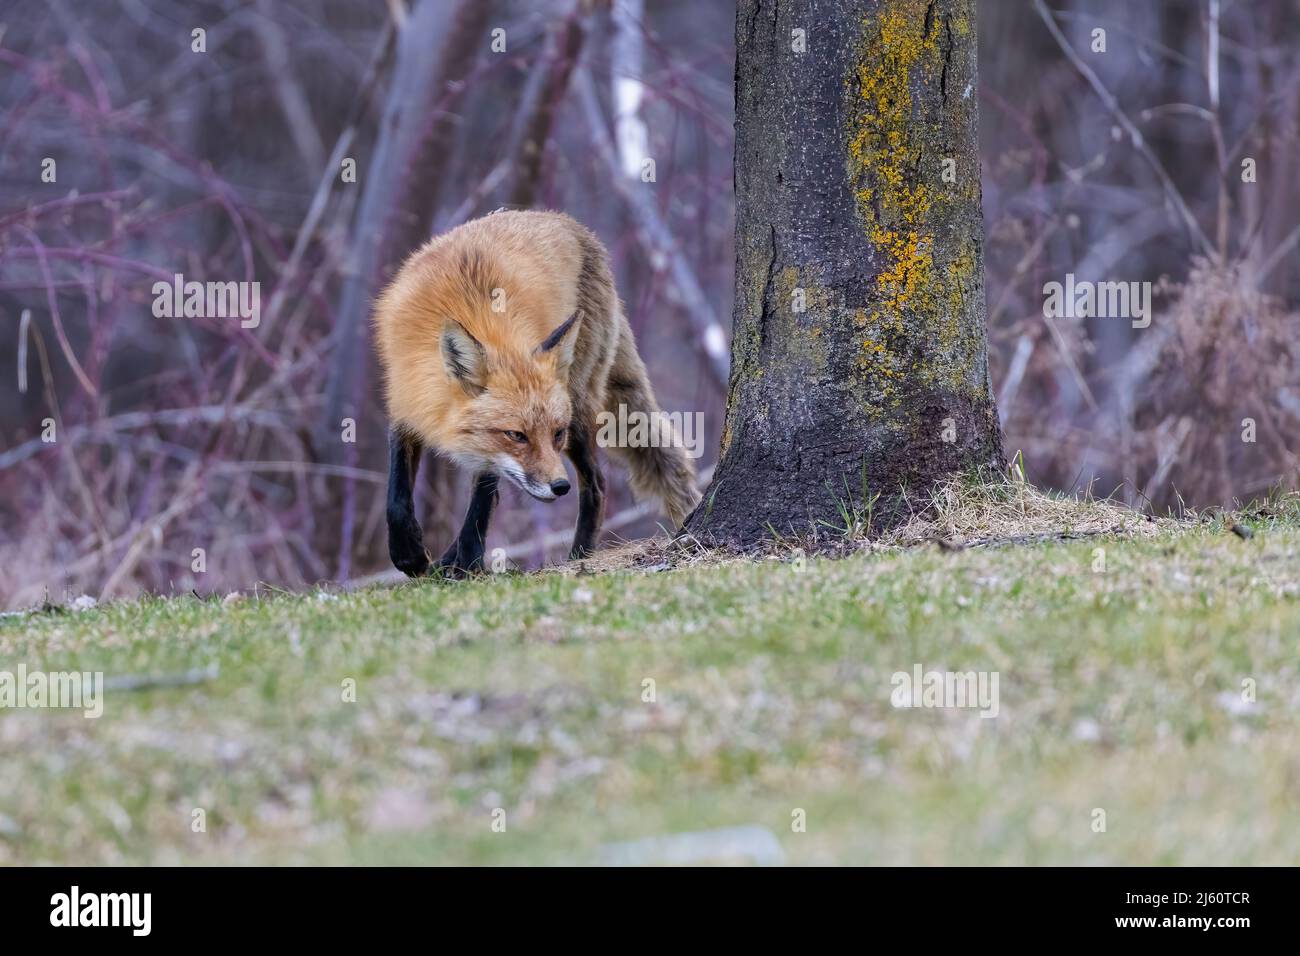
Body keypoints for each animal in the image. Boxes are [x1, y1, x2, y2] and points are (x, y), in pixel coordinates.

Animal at [372, 210, 700, 577]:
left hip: (579, 410)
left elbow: (482, 499)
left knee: (597, 483)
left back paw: (578, 557)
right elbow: (397, 493)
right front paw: (409, 553)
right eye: (517, 435)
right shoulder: (404, 401)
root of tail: (568, 223)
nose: (560, 486)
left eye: (555, 433)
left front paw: (467, 563)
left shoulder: (493, 449)